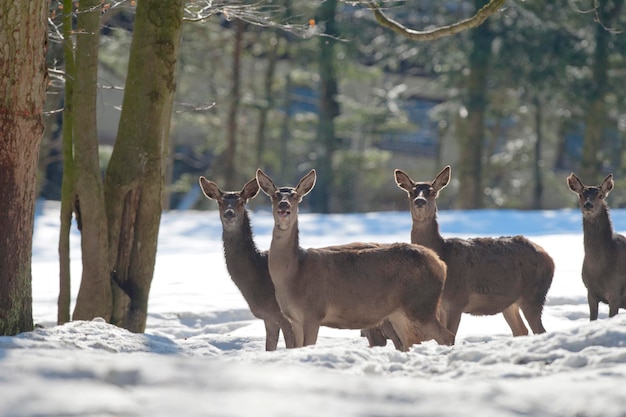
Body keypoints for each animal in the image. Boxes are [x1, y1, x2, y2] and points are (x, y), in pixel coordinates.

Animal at [200, 176, 294, 352]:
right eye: (219, 202)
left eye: (242, 202)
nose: (229, 213)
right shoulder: (269, 317)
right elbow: (269, 346)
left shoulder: (285, 314)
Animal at [254, 167, 454, 350]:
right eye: (274, 195)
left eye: (295, 196)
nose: (284, 205)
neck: (293, 274)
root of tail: (441, 264)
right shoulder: (294, 318)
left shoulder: (313, 312)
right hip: (400, 312)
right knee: (409, 341)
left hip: (421, 303)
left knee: (446, 336)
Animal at [392, 164, 552, 336]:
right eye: (411, 192)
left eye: (433, 192)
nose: (420, 201)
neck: (443, 252)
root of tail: (550, 259)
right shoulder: (440, 306)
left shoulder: (457, 300)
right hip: (510, 302)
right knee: (521, 330)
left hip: (535, 294)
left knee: (539, 329)